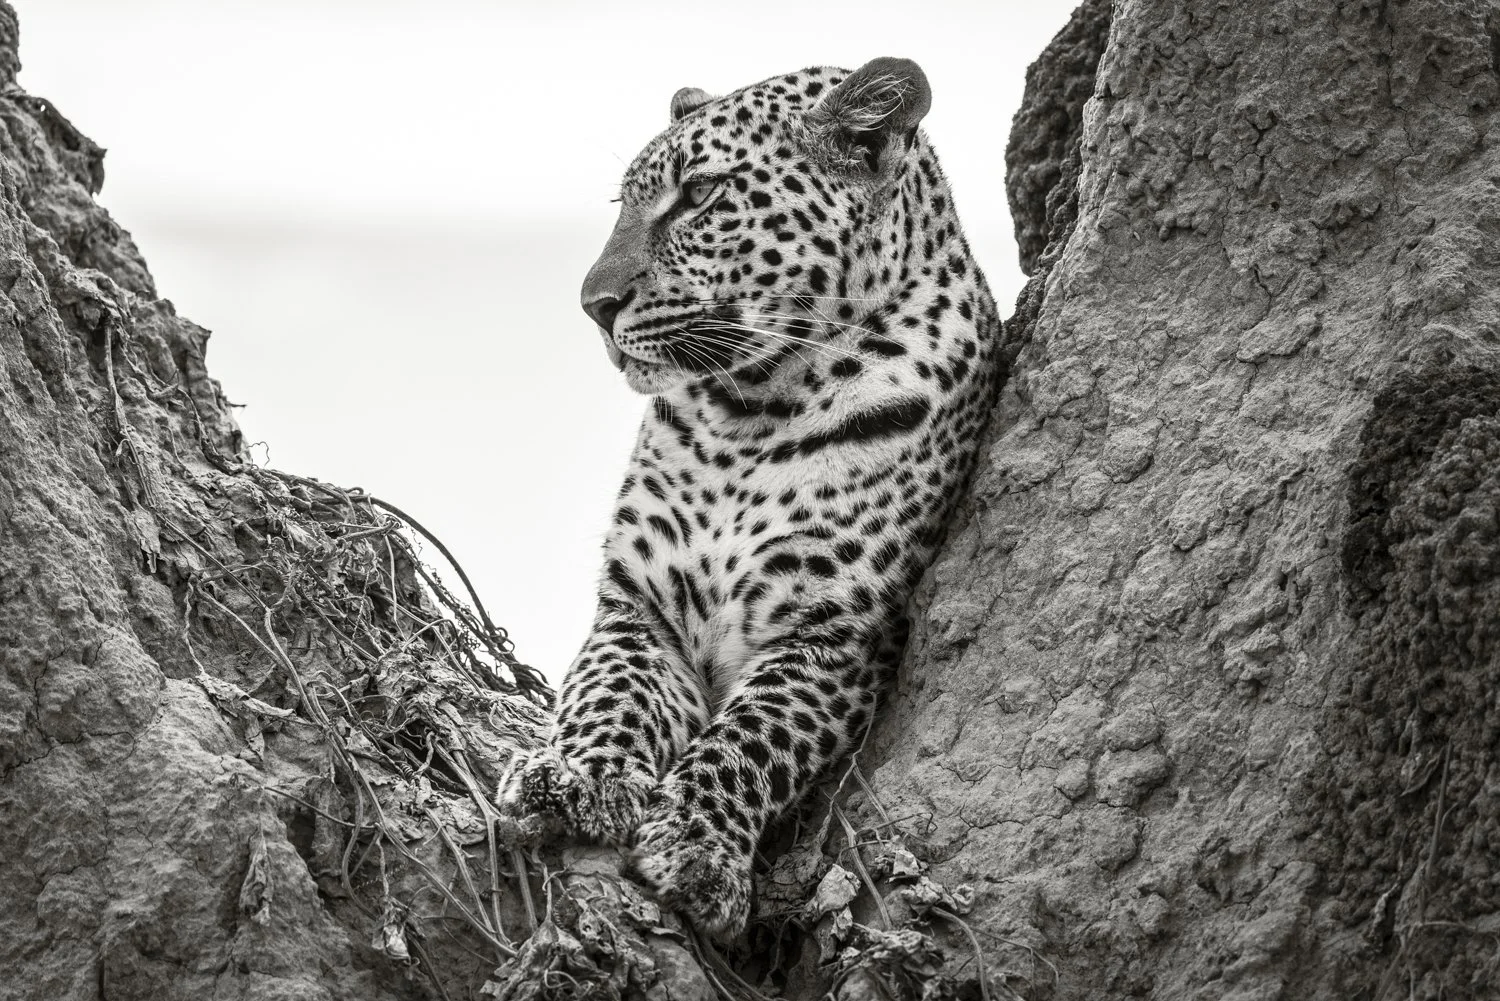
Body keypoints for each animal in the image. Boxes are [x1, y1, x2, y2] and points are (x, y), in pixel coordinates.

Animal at [496, 56, 1002, 938]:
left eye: (699, 194)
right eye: (623, 204)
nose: (593, 305)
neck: (754, 411)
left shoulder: (835, 635)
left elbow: (752, 739)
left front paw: (699, 843)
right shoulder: (641, 606)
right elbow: (608, 691)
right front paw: (574, 775)